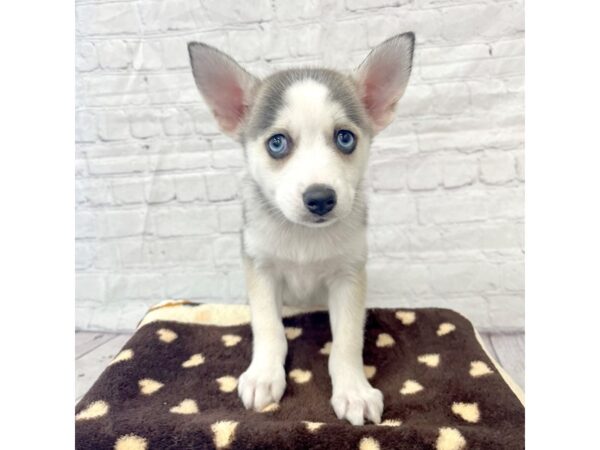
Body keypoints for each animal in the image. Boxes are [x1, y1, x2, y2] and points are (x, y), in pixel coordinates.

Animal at [188, 31, 412, 426]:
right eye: (277, 143)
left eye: (345, 138)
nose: (320, 198)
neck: (304, 238)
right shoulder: (261, 270)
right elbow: (269, 328)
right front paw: (264, 375)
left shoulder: (348, 277)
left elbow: (347, 341)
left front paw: (354, 390)